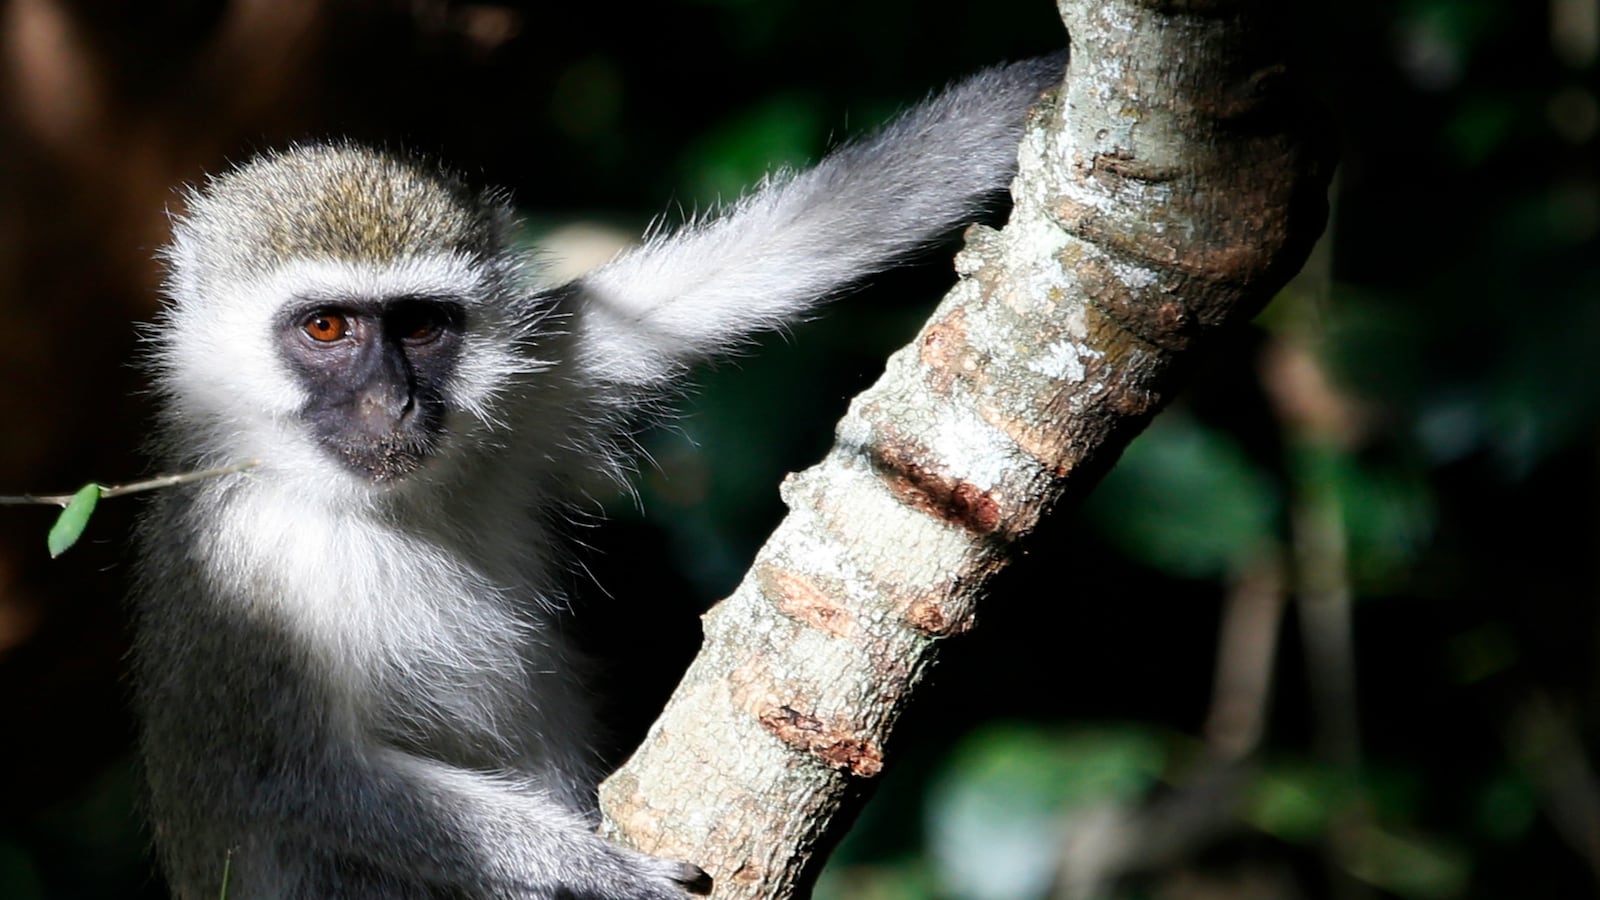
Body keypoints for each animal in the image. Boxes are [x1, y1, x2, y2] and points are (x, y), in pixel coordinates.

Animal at [129, 54, 1064, 899]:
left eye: (422, 327)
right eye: (325, 327)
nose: (394, 403)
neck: (367, 502)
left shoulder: (546, 369)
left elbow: (779, 250)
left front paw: (1041, 87)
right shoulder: (241, 570)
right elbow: (293, 780)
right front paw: (604, 875)